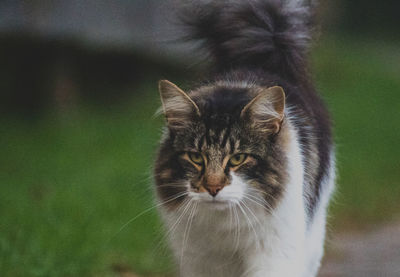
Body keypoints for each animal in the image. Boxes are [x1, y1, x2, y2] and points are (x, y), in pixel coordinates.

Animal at [153, 1, 334, 274]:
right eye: (195, 157)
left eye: (238, 158)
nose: (213, 187)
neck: (226, 230)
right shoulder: (199, 259)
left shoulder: (275, 252)